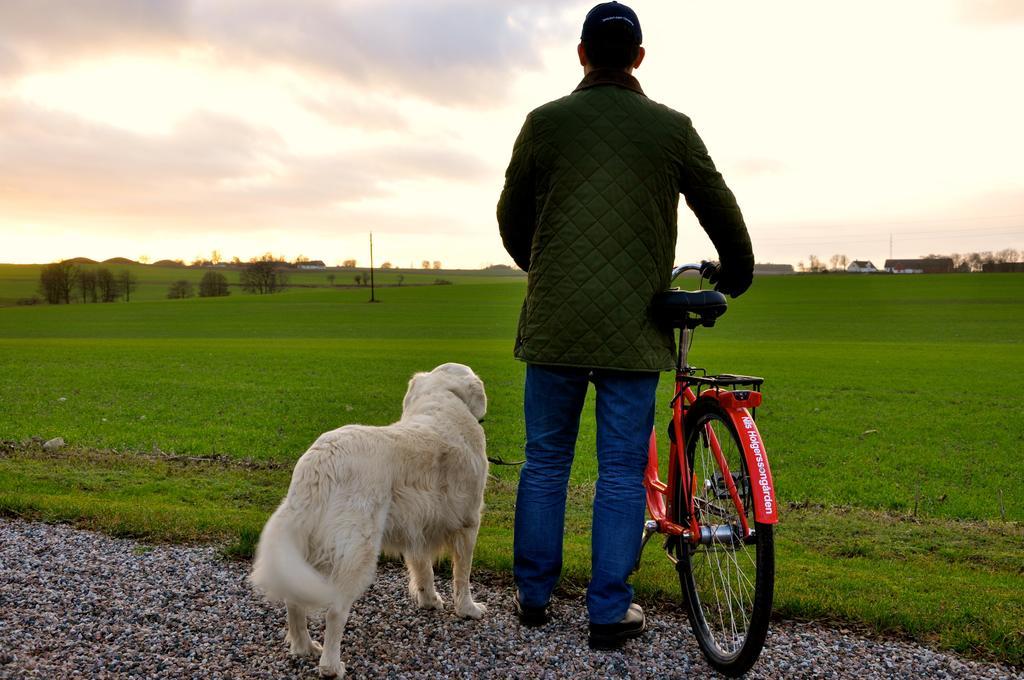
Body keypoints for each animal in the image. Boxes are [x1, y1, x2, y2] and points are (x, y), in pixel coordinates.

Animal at [248, 364, 487, 675]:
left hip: (308, 549)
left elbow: (423, 569)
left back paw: (305, 648)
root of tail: (320, 460)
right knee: (335, 611)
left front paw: (429, 600)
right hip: (358, 551)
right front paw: (468, 609)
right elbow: (463, 575)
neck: (443, 399)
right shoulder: (469, 524)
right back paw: (331, 666)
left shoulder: (417, 528)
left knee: (294, 600)